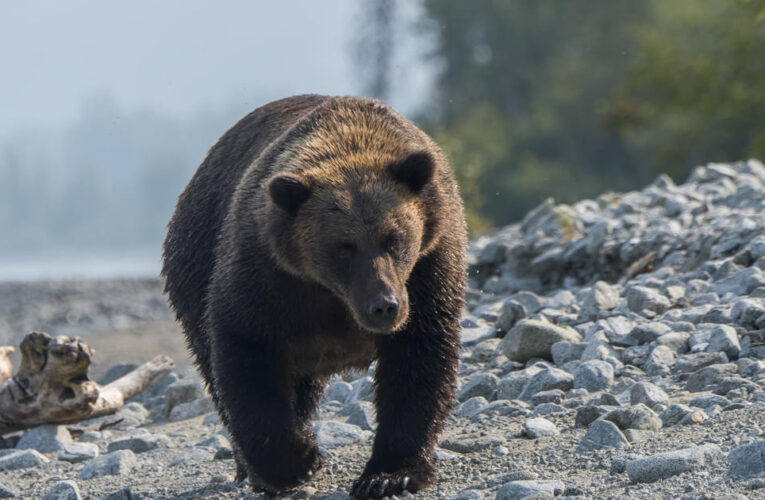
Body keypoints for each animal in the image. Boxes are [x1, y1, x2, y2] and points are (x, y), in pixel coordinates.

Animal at [163, 95, 466, 498]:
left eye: (394, 238)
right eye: (344, 247)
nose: (384, 306)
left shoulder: (428, 266)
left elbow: (419, 358)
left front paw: (390, 475)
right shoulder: (267, 272)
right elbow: (246, 351)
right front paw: (297, 461)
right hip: (194, 258)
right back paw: (251, 468)